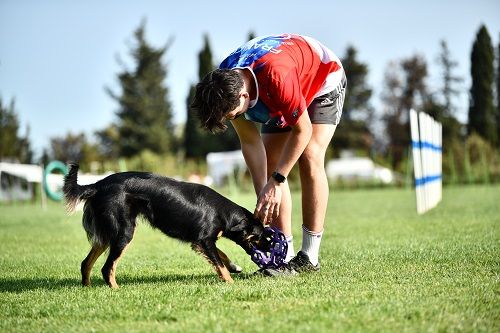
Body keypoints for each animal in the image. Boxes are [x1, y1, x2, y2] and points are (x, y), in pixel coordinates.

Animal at [64, 163, 270, 286]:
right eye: (260, 237)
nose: (270, 247)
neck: (223, 212)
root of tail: (97, 185)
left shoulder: (200, 241)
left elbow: (222, 256)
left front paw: (234, 267)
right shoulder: (204, 240)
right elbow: (219, 263)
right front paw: (231, 282)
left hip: (107, 233)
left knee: (86, 263)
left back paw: (87, 288)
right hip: (123, 231)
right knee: (107, 268)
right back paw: (115, 289)